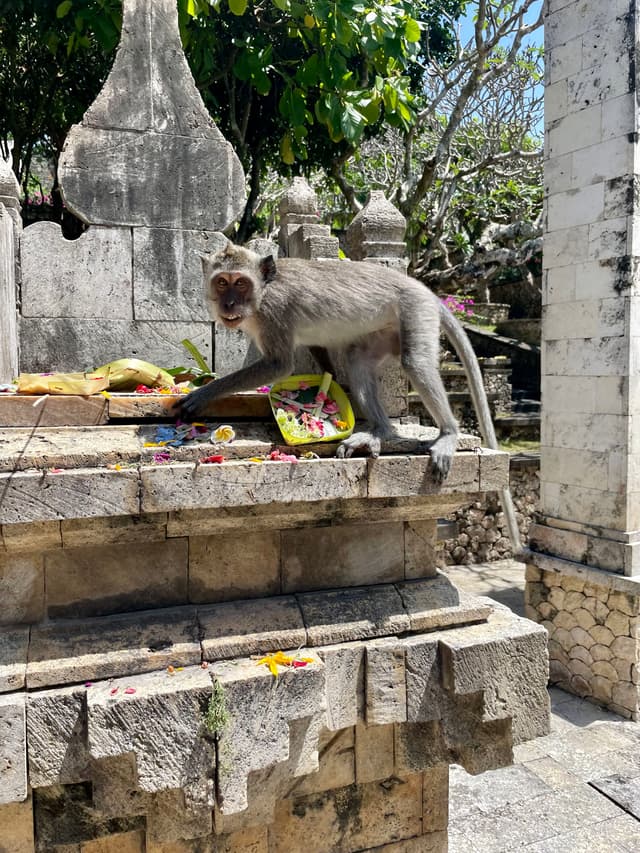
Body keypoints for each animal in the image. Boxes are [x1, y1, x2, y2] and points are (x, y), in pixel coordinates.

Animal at [175, 240, 521, 550]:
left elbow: (279, 365)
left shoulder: (276, 314)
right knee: (358, 361)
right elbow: (321, 355)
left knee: (417, 362)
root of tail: (425, 290)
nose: (229, 305)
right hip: (384, 332)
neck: (263, 293)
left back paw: (447, 433)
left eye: (241, 283)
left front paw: (204, 392)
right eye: (221, 282)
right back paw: (379, 431)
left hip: (415, 310)